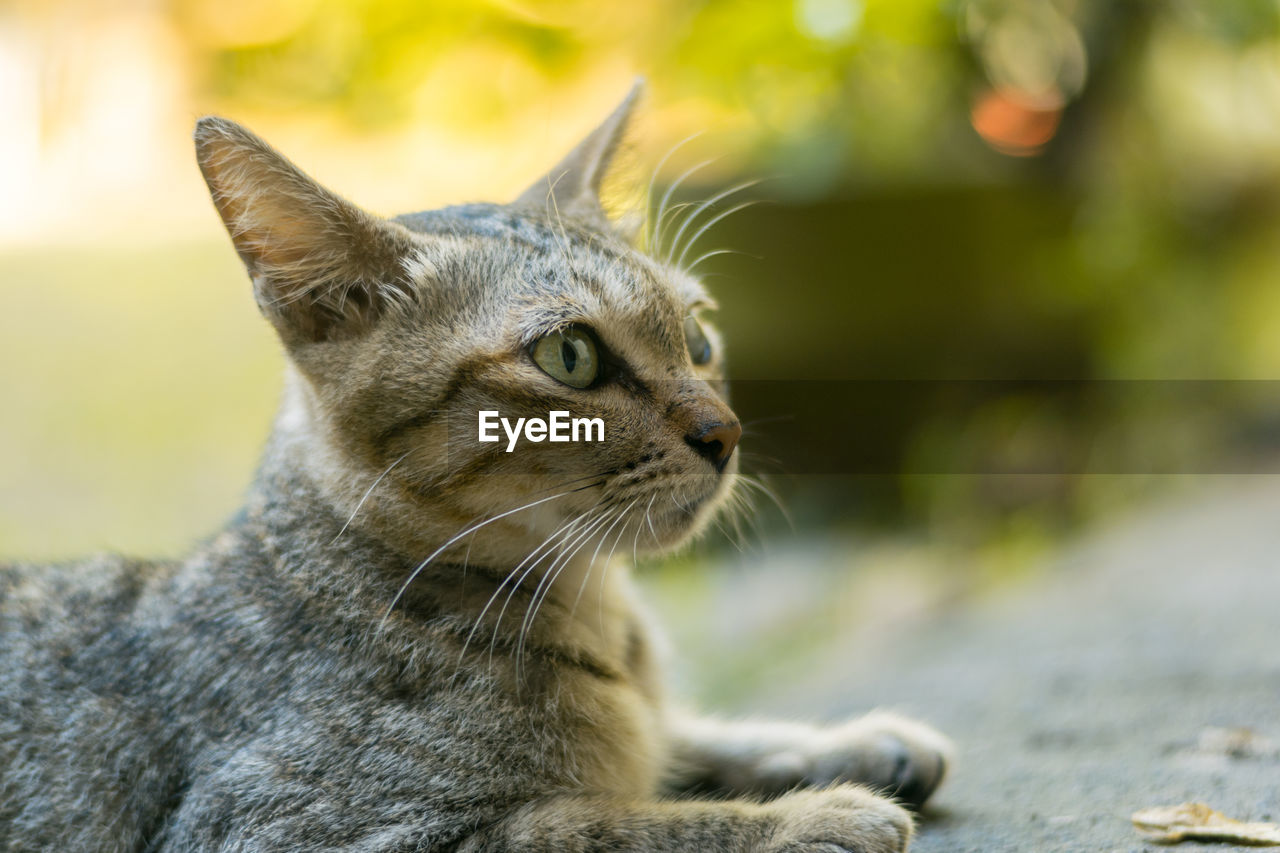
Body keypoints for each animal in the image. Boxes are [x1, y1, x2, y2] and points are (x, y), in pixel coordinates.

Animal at [0, 86, 952, 850]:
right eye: (570, 356)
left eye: (699, 337)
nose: (727, 432)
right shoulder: (294, 826)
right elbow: (620, 822)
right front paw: (817, 812)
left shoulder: (651, 722)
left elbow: (681, 734)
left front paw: (847, 743)